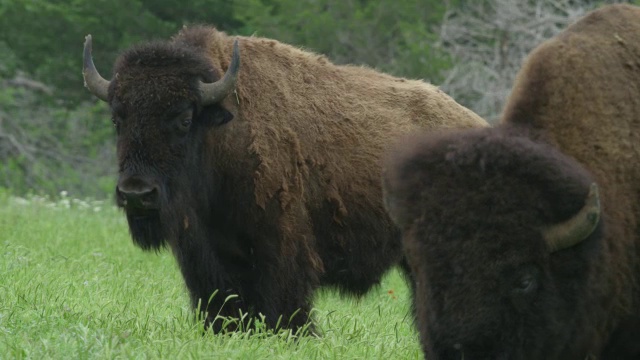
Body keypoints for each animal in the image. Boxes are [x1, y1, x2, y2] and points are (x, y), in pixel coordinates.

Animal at [81, 26, 484, 334]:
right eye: (118, 118)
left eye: (183, 119)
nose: (136, 193)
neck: (224, 133)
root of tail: (477, 124)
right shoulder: (206, 256)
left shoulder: (282, 249)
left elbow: (283, 309)